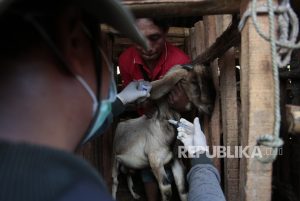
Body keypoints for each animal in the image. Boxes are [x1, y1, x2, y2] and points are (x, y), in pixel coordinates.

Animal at [111, 64, 214, 201]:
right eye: (193, 82)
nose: (210, 107)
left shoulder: (174, 161)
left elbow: (183, 189)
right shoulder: (155, 161)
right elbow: (166, 189)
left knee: (128, 174)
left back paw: (135, 195)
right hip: (115, 159)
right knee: (115, 180)